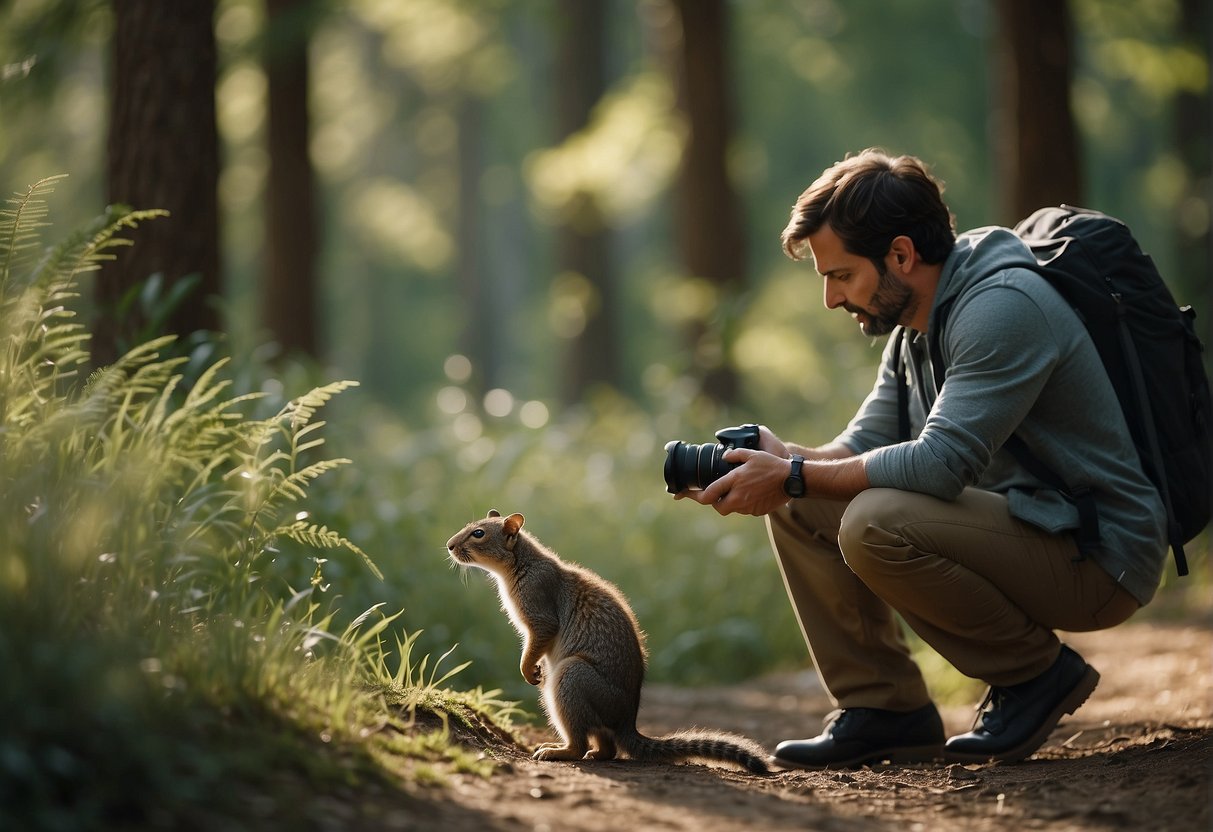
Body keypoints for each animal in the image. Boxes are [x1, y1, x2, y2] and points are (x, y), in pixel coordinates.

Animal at [443, 511, 766, 781]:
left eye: (479, 533)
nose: (449, 545)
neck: (522, 563)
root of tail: (627, 722)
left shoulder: (541, 614)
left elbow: (537, 641)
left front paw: (527, 668)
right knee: (607, 748)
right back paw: (590, 751)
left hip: (570, 677)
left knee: (582, 743)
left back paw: (558, 751)